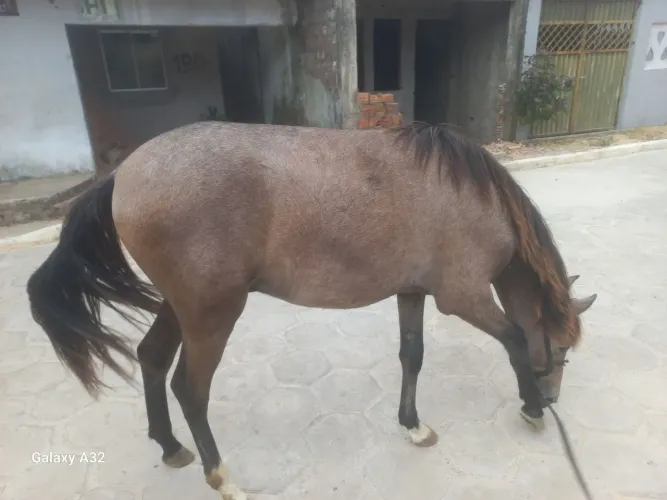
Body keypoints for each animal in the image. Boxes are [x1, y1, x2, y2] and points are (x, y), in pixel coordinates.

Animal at [26, 121, 597, 500]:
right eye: (561, 348)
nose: (552, 400)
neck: (472, 198)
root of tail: (122, 173)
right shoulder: (464, 298)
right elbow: (516, 340)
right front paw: (528, 407)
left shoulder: (412, 292)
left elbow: (412, 355)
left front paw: (412, 424)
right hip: (211, 315)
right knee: (189, 388)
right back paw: (221, 477)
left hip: (180, 306)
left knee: (150, 358)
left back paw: (170, 446)